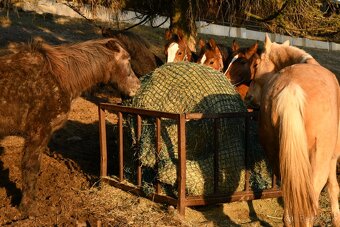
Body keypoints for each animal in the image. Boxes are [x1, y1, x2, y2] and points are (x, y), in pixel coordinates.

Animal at [0, 38, 140, 216]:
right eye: (128, 60)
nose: (137, 86)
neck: (60, 78)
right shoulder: (38, 132)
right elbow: (30, 167)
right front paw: (27, 208)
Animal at [246, 34, 338, 227]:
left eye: (256, 65)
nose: (248, 97)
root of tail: (291, 88)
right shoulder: (333, 156)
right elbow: (333, 189)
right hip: (318, 163)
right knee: (309, 211)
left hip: (280, 162)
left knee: (288, 214)